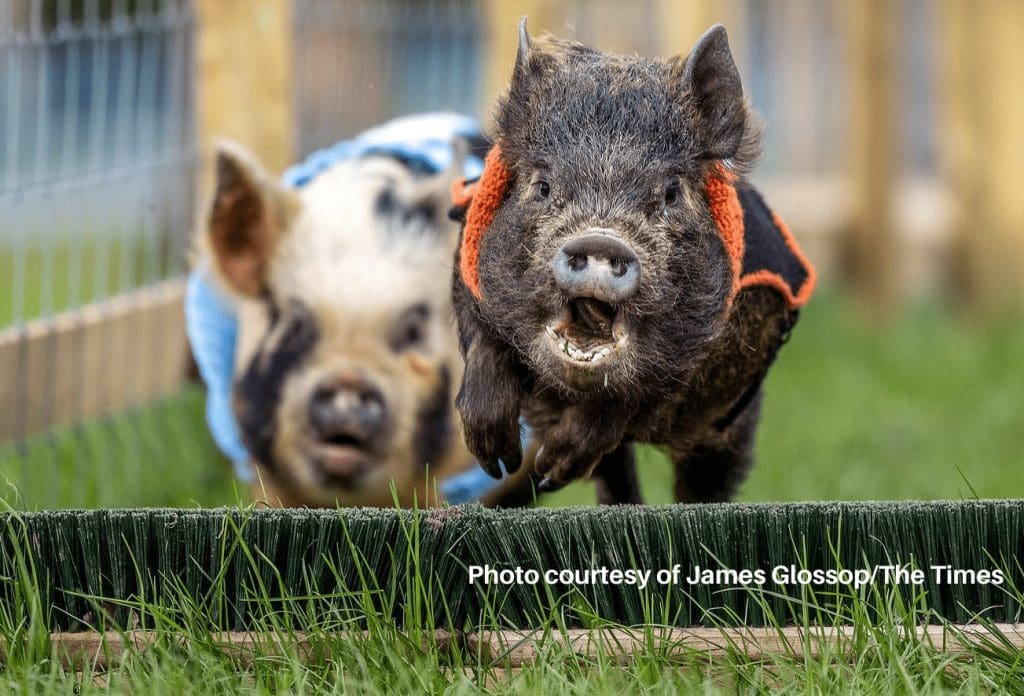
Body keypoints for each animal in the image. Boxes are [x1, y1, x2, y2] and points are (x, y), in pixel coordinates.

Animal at [448, 20, 815, 499]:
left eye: (671, 193)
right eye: (543, 186)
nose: (601, 240)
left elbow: (647, 389)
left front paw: (547, 465)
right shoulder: (465, 264)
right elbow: (483, 340)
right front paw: (498, 463)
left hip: (727, 436)